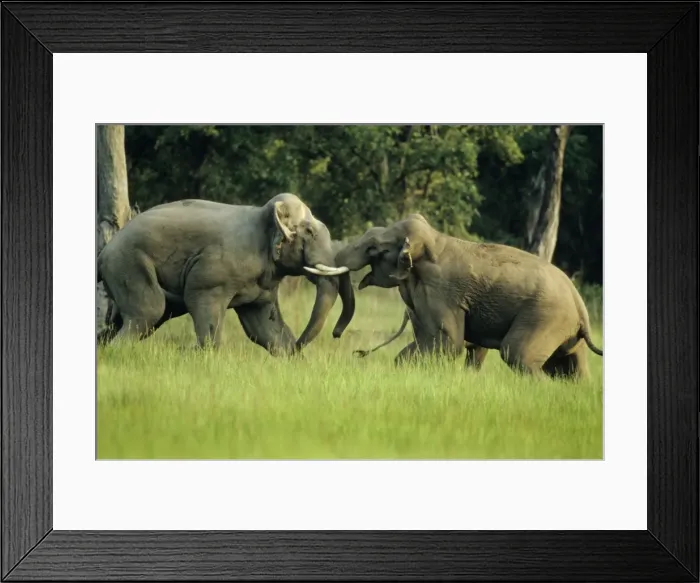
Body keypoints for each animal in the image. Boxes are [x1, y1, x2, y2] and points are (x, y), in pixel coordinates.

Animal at [97, 193, 355, 355]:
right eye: (309, 231)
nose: (299, 345)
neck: (263, 216)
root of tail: (103, 252)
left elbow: (265, 328)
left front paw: (291, 354)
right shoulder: (213, 275)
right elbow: (202, 301)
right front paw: (199, 354)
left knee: (121, 321)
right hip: (128, 264)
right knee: (150, 311)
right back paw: (117, 351)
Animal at [316, 214, 602, 379]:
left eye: (375, 249)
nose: (338, 336)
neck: (432, 241)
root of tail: (580, 307)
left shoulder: (441, 292)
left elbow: (448, 343)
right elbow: (427, 341)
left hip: (545, 316)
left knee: (518, 355)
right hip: (563, 329)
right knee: (570, 368)